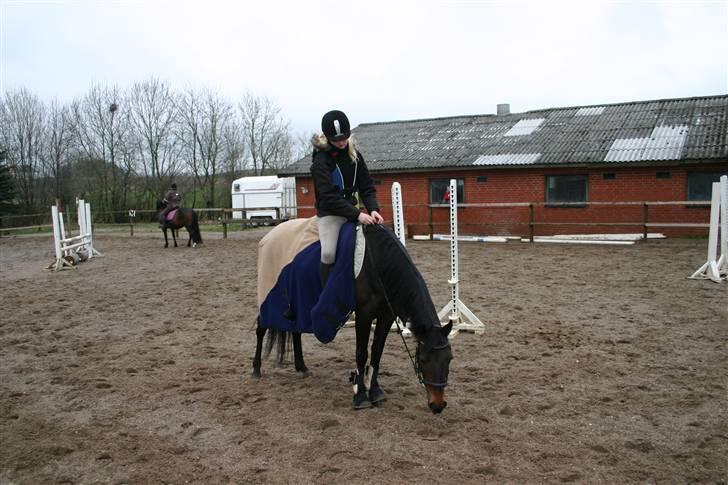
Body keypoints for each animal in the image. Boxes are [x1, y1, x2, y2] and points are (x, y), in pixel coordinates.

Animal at [253, 223, 452, 412]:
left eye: (449, 358)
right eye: (423, 360)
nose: (438, 405)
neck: (377, 265)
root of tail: (271, 235)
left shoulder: (386, 316)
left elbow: (377, 352)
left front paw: (374, 390)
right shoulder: (363, 316)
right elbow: (362, 353)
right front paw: (360, 396)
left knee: (296, 330)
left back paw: (301, 367)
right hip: (268, 297)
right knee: (261, 328)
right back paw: (256, 369)